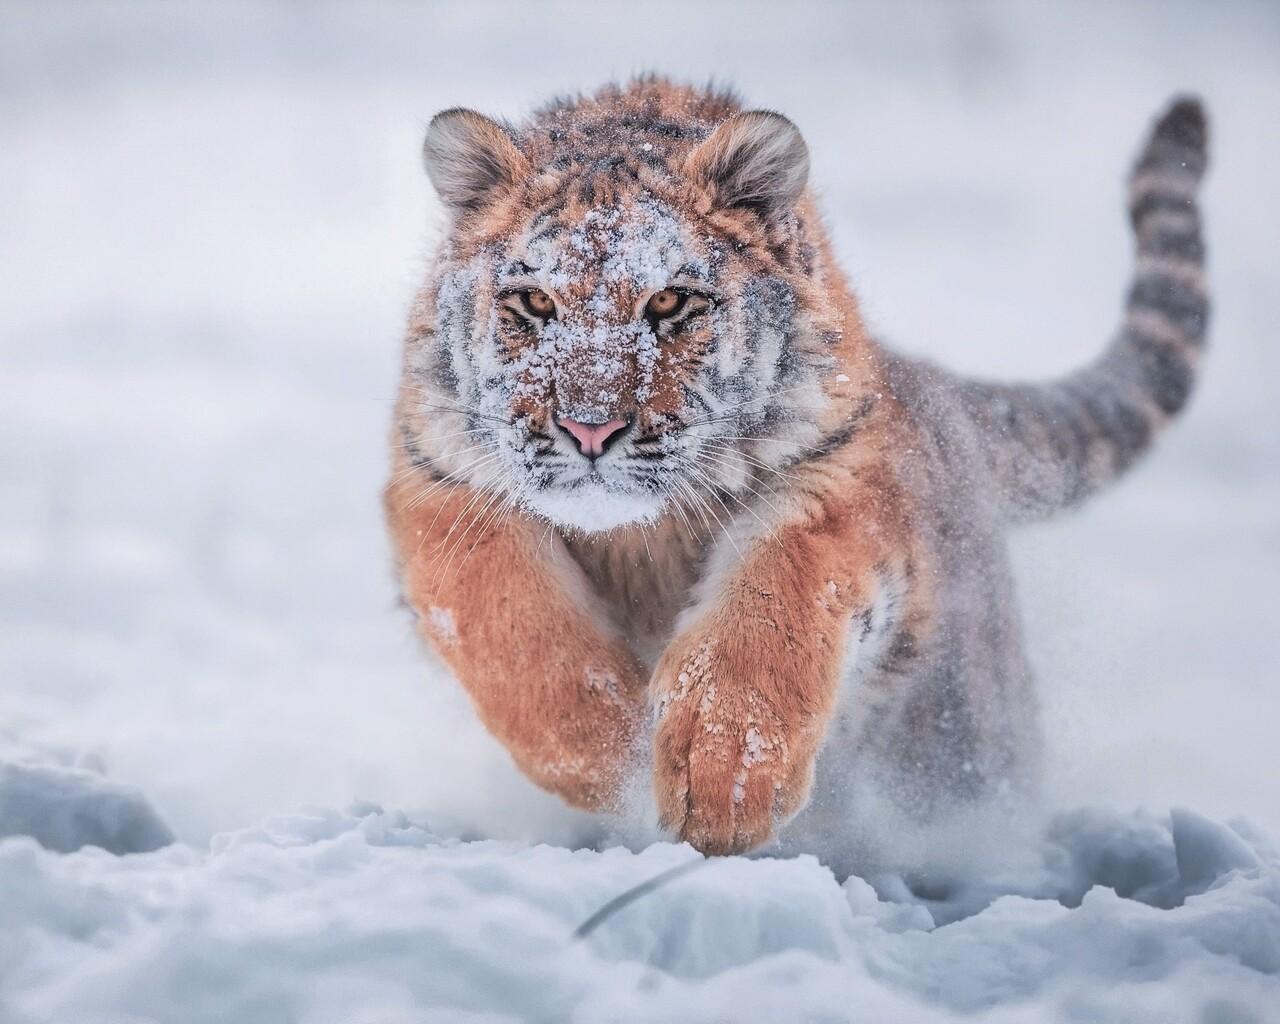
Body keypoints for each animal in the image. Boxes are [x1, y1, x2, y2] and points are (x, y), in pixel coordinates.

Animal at [384, 77, 1209, 856]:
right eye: (533, 302)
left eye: (670, 302)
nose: (591, 428)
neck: (639, 538)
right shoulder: (442, 483)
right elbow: (509, 622)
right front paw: (610, 753)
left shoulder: (834, 482)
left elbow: (771, 606)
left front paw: (722, 782)